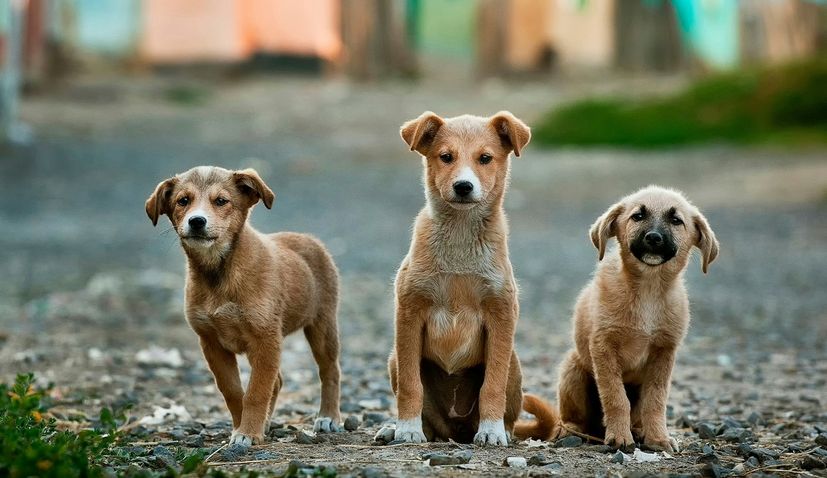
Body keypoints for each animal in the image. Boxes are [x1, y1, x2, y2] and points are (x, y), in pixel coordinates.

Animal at [146, 166, 342, 446]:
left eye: (221, 201)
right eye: (183, 201)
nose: (197, 221)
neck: (219, 273)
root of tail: (308, 238)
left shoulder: (265, 339)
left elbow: (256, 391)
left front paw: (248, 432)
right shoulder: (212, 343)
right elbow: (233, 391)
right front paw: (243, 427)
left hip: (322, 325)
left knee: (330, 371)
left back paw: (328, 417)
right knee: (278, 381)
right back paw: (268, 423)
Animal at [384, 111, 556, 444]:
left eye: (485, 158)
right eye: (446, 157)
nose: (463, 186)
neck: (461, 238)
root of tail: (456, 430)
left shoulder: (501, 314)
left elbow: (492, 385)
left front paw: (491, 431)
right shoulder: (409, 312)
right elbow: (411, 386)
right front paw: (407, 429)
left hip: (514, 364)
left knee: (507, 409)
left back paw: (500, 429)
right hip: (394, 359)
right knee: (428, 419)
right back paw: (395, 429)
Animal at [556, 186, 720, 452]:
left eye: (676, 220)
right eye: (638, 216)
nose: (653, 238)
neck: (648, 290)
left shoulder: (664, 352)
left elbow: (655, 401)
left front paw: (658, 438)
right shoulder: (603, 347)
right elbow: (615, 397)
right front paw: (619, 437)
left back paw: (640, 430)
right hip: (573, 369)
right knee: (573, 416)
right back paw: (570, 430)